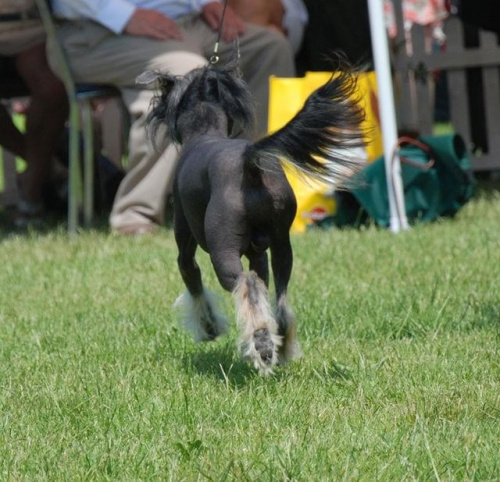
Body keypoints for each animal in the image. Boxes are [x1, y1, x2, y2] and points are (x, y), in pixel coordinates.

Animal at [139, 53, 366, 376]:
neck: (204, 131)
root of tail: (250, 165)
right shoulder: (259, 253)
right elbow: (262, 283)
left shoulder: (184, 240)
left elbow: (192, 278)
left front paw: (208, 327)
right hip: (283, 244)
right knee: (278, 299)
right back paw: (280, 344)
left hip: (222, 248)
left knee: (245, 282)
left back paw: (262, 343)